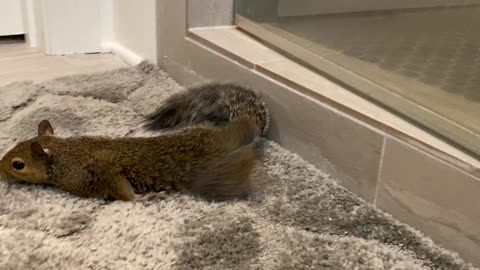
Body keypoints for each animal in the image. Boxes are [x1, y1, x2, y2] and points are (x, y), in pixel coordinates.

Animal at [0, 83, 270, 201]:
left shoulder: (98, 173)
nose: (0, 171)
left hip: (217, 176)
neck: (65, 153)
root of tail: (229, 135)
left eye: (17, 164)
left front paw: (141, 198)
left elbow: (122, 191)